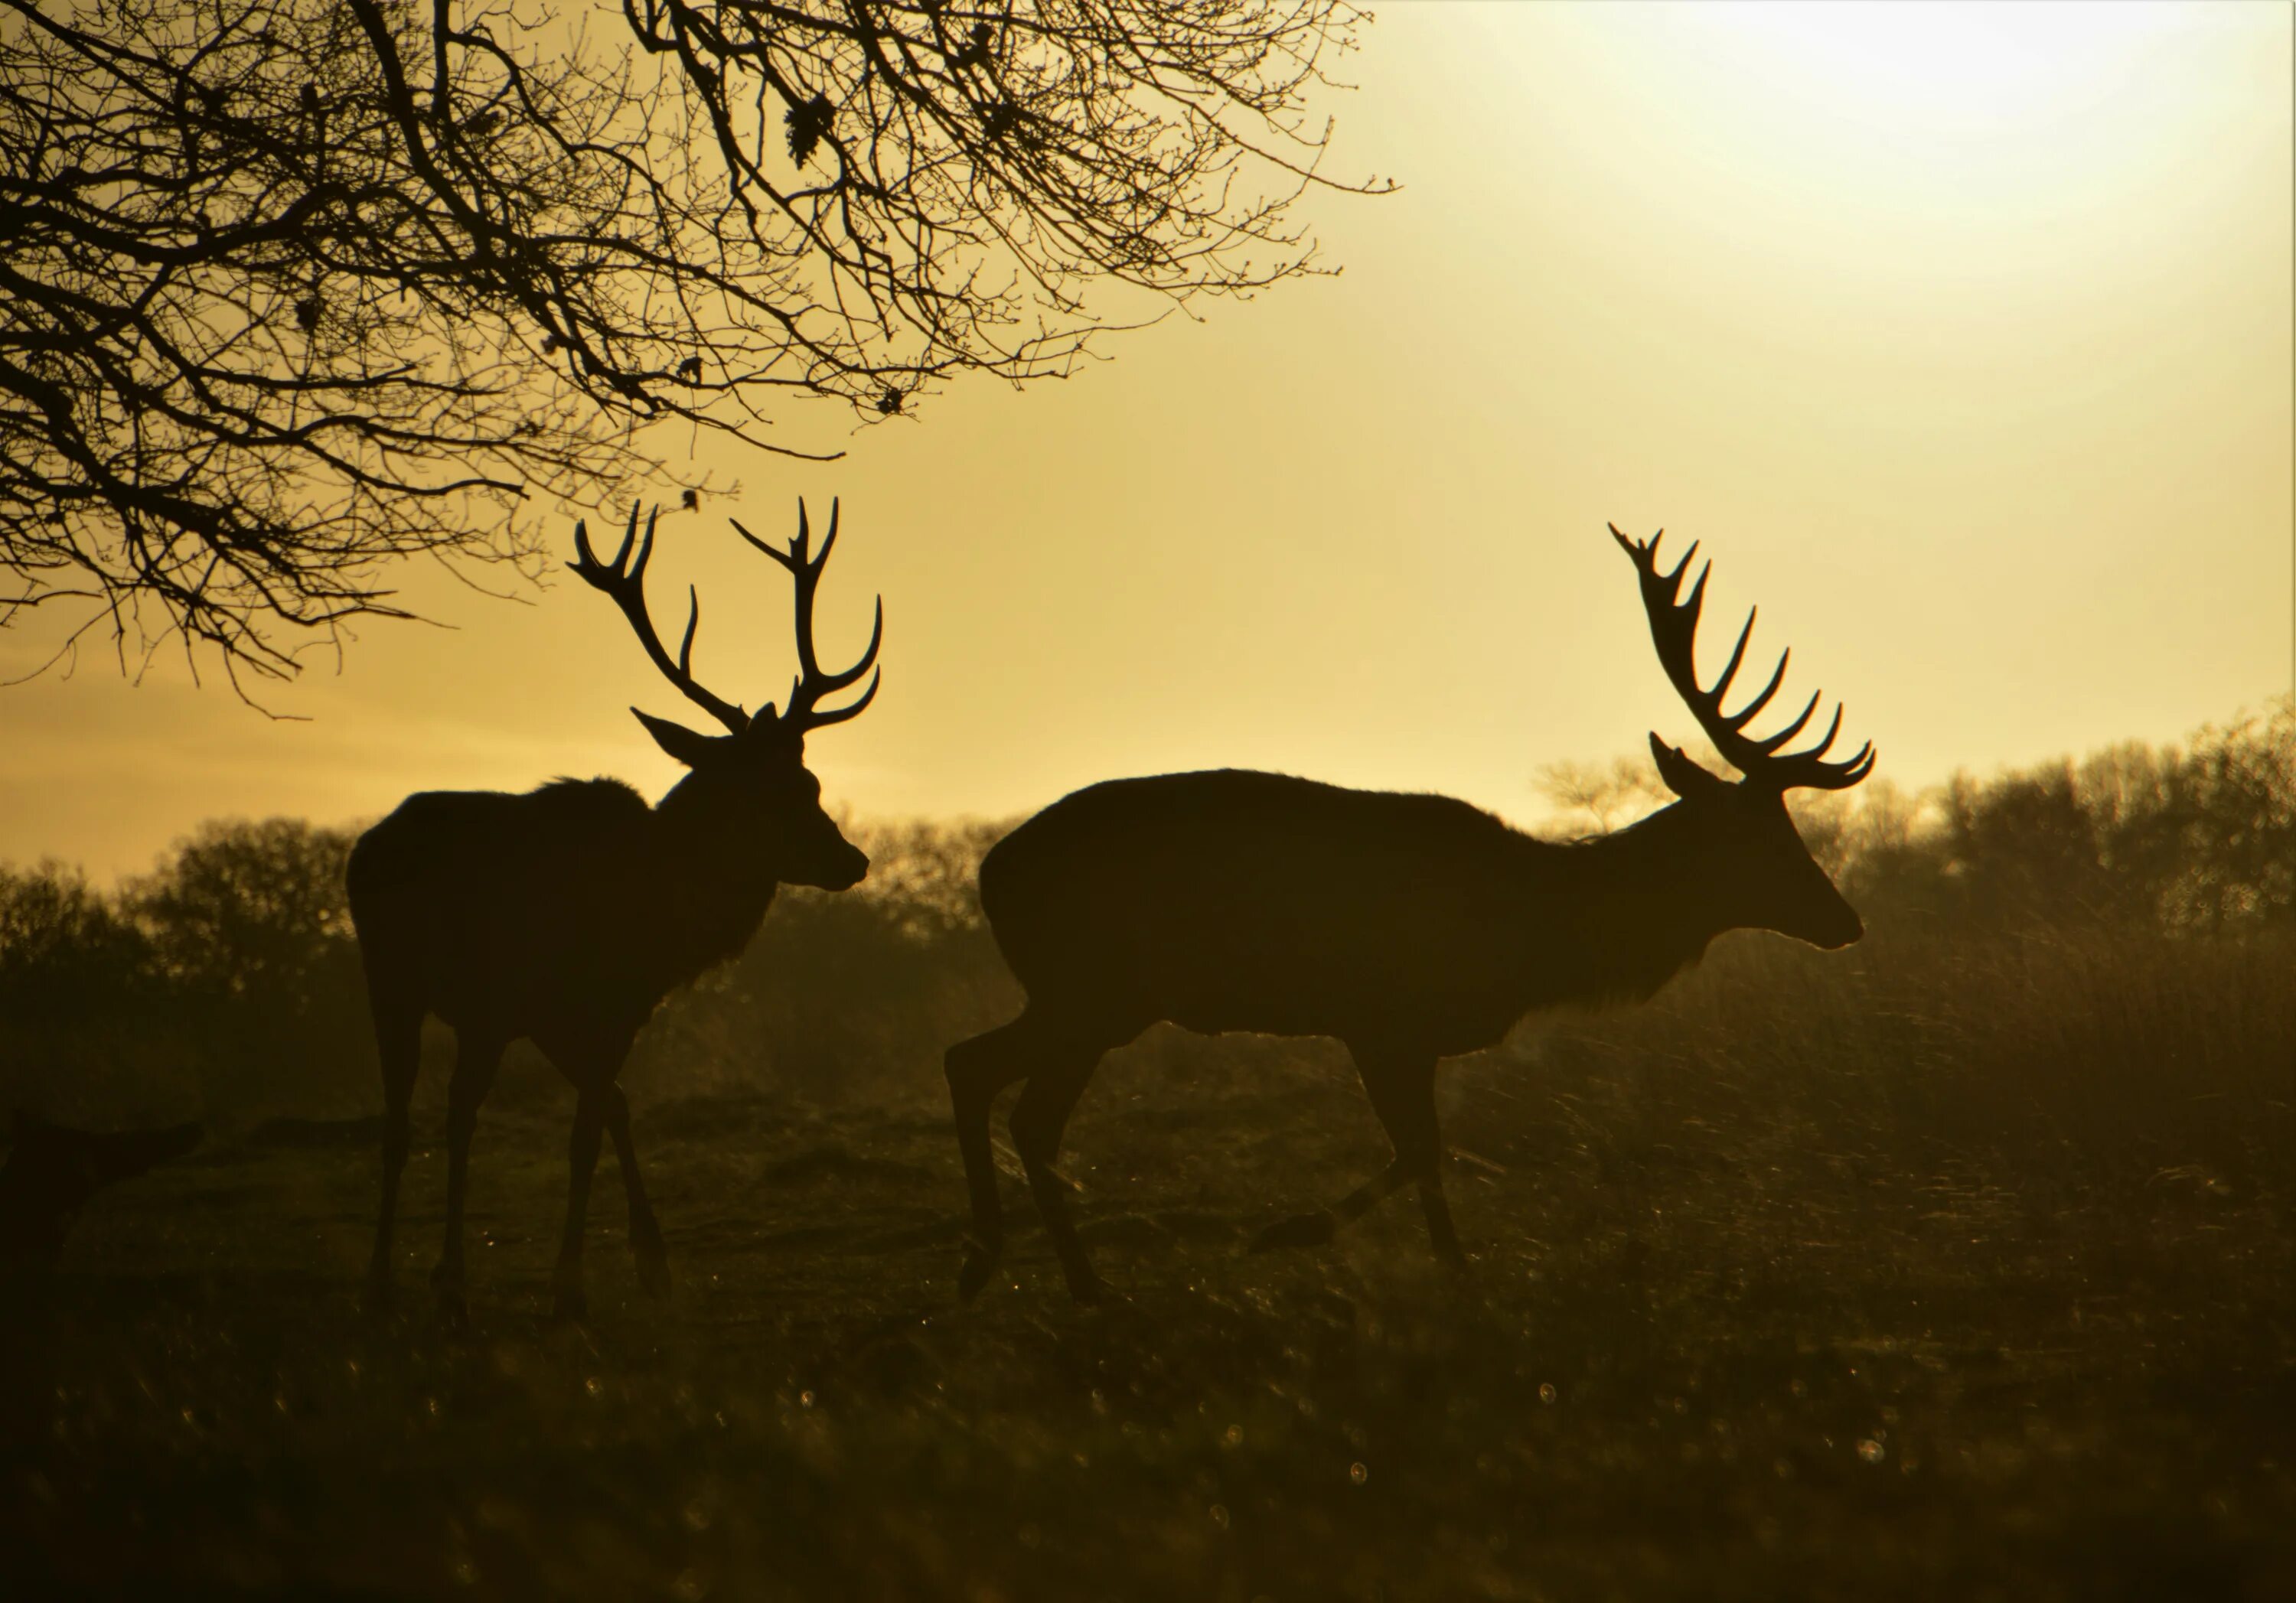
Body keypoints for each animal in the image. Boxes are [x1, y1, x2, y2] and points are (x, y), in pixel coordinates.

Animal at [354, 503, 882, 1322]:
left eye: (813, 780)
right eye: (775, 792)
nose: (851, 861)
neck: (658, 926)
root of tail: (362, 850)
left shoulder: (602, 1016)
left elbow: (615, 1111)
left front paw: (652, 1262)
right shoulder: (561, 1008)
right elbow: (581, 1134)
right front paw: (569, 1281)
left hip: (469, 1008)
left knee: (447, 1112)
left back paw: (438, 1275)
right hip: (405, 986)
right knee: (416, 1118)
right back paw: (405, 1275)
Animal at [941, 523, 1874, 1295]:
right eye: (1761, 836)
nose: (1847, 920)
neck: (1534, 934)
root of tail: (991, 870)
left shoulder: (1405, 1033)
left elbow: (1426, 1149)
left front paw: (1434, 1259)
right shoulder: (1381, 1016)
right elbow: (1422, 1149)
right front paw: (1306, 1236)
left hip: (1087, 999)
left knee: (975, 1067)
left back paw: (992, 1262)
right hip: (1092, 990)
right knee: (1020, 1104)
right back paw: (1077, 1281)